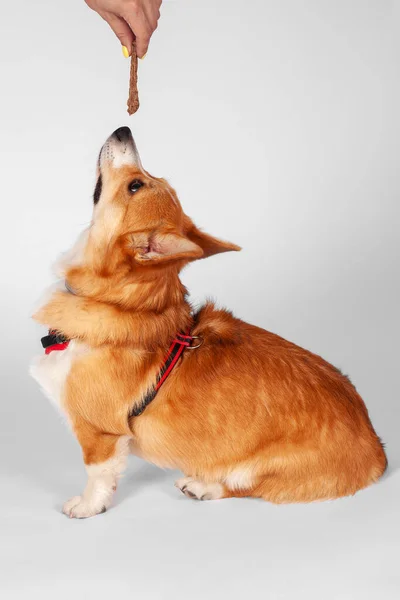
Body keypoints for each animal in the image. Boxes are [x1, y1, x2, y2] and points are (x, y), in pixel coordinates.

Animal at [31, 125, 388, 516]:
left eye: (135, 185)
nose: (124, 129)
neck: (114, 302)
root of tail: (377, 450)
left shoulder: (99, 434)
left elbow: (97, 473)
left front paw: (86, 506)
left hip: (260, 469)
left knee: (247, 486)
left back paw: (203, 486)